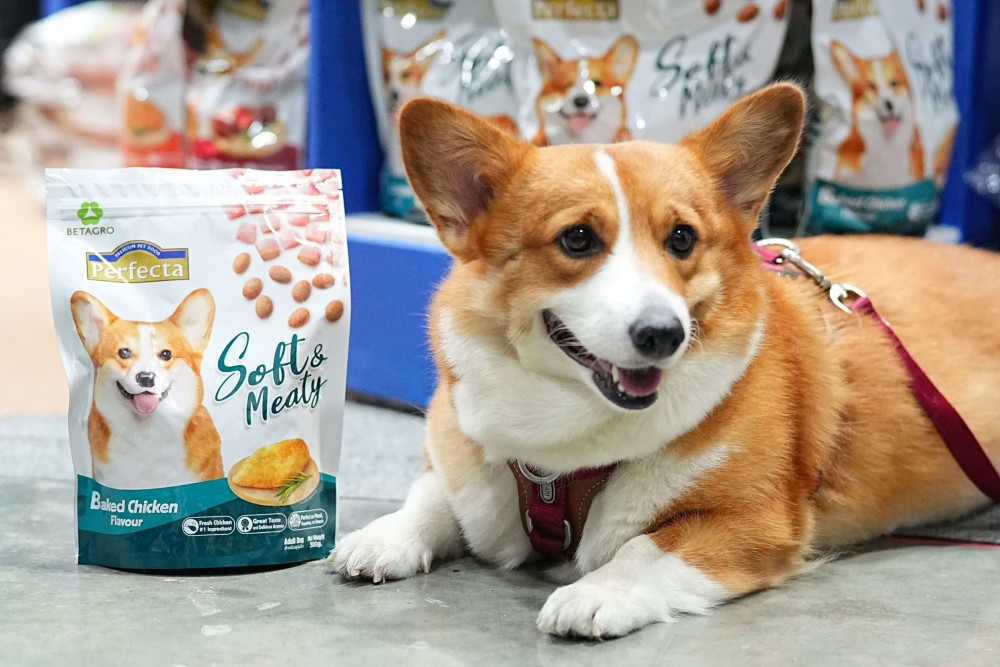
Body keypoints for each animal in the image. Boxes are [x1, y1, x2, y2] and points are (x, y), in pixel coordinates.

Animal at [329, 83, 1000, 638]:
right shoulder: (468, 461)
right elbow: (434, 495)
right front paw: (381, 537)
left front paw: (596, 593)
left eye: (682, 237)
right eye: (577, 238)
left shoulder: (756, 520)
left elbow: (648, 548)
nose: (662, 335)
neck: (562, 455)